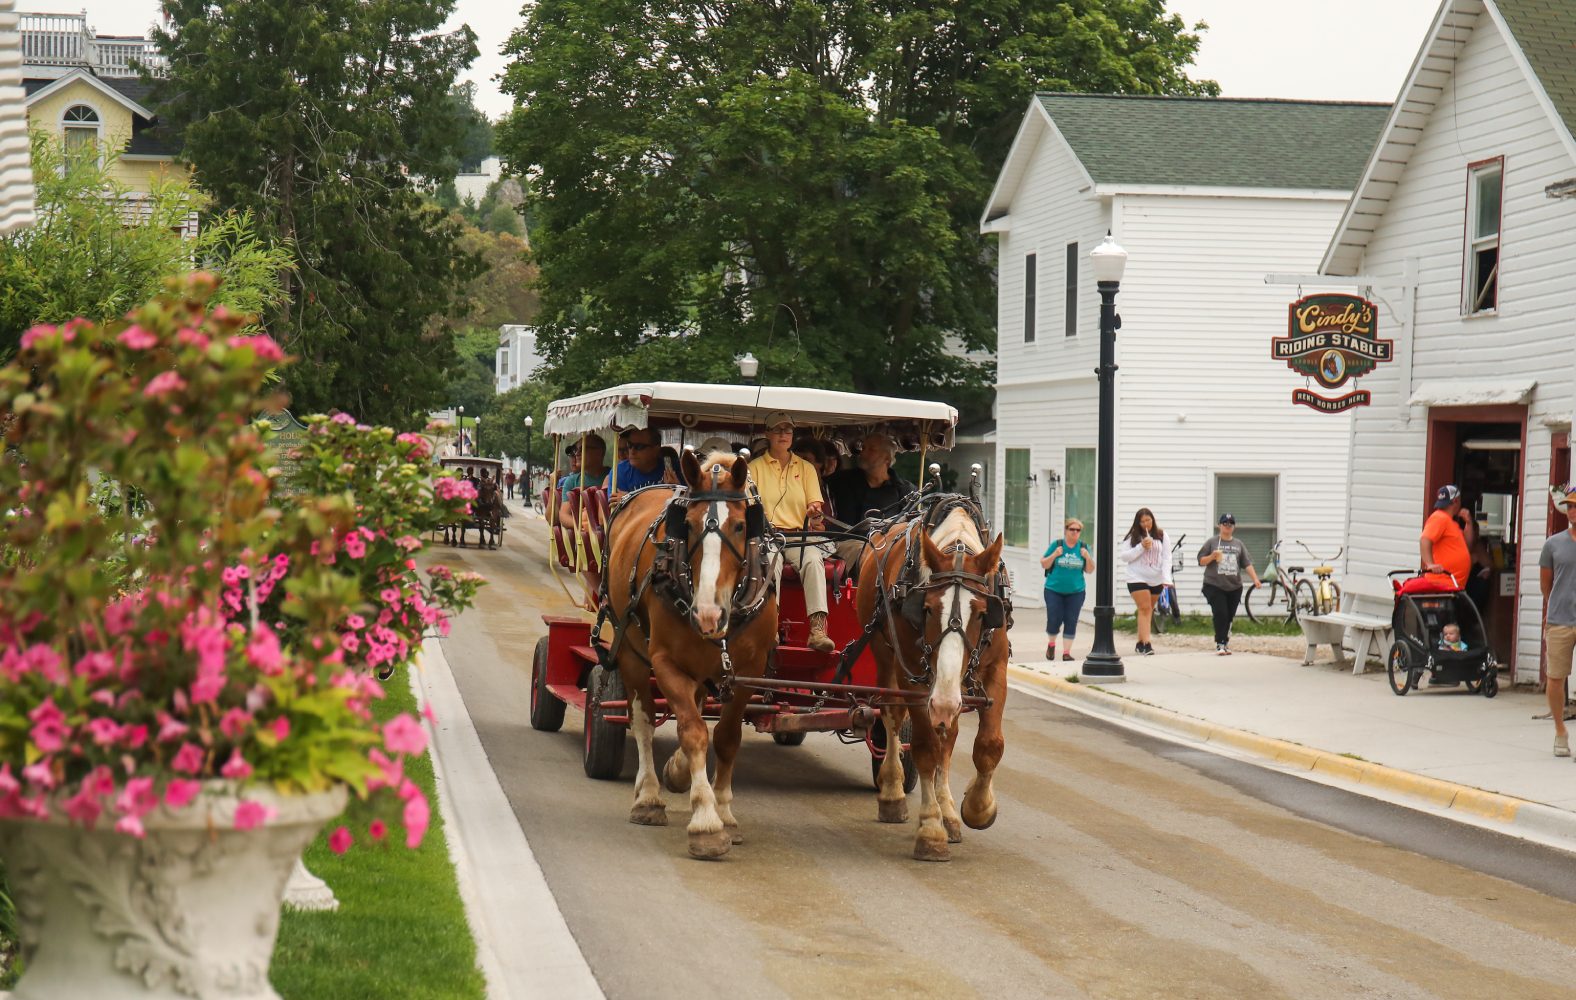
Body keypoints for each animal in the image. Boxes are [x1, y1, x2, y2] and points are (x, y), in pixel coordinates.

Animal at [602, 450, 775, 856]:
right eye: (690, 526)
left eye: (741, 525)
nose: (708, 614)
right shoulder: (666, 663)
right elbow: (693, 731)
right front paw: (706, 821)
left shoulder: (749, 670)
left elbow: (726, 737)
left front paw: (724, 811)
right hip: (630, 649)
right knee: (643, 718)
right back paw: (648, 796)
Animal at [857, 507, 1002, 862]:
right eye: (926, 609)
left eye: (983, 613)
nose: (944, 703)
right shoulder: (914, 677)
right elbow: (924, 748)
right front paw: (931, 829)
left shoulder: (996, 666)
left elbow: (988, 744)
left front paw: (977, 807)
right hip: (886, 657)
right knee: (893, 718)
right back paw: (893, 791)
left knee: (948, 737)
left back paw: (948, 811)